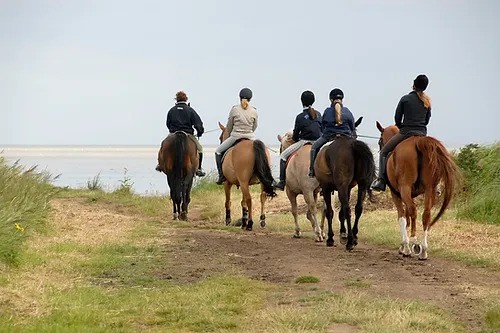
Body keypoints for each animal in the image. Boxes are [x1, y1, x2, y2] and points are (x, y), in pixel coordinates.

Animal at [376, 122, 460, 260]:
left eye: (380, 141)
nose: (380, 146)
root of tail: (418, 142)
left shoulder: (396, 194)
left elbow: (402, 217)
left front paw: (404, 247)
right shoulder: (410, 194)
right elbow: (408, 218)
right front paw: (404, 246)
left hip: (405, 188)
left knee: (413, 211)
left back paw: (414, 243)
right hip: (430, 189)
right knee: (426, 214)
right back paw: (423, 250)